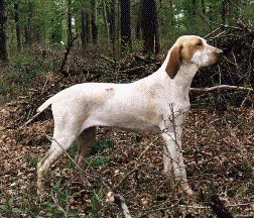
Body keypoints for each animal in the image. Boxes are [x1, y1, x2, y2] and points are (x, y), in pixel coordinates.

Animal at [35, 35, 222, 194]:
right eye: (198, 44)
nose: (220, 52)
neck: (174, 83)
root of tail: (56, 96)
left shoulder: (173, 131)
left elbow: (168, 164)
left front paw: (171, 188)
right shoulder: (170, 133)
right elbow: (179, 166)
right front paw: (187, 192)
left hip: (87, 135)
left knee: (78, 162)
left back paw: (86, 186)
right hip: (65, 137)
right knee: (42, 165)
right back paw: (41, 195)